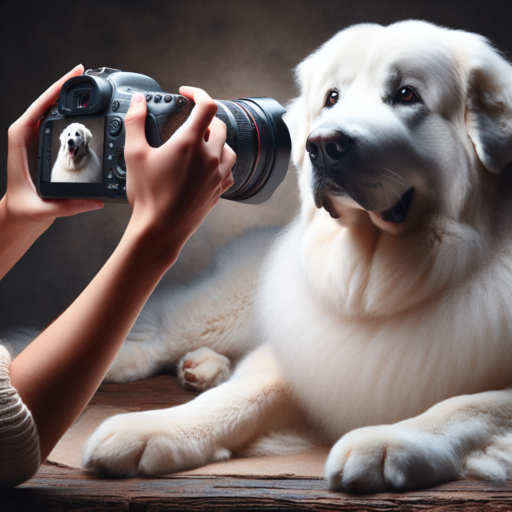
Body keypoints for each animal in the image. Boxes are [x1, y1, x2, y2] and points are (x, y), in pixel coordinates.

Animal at [81, 20, 512, 492]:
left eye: (407, 94)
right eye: (332, 98)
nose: (321, 145)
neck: (376, 284)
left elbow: (468, 405)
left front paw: (387, 441)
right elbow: (243, 394)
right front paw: (152, 428)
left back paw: (200, 368)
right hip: (229, 308)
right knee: (159, 333)